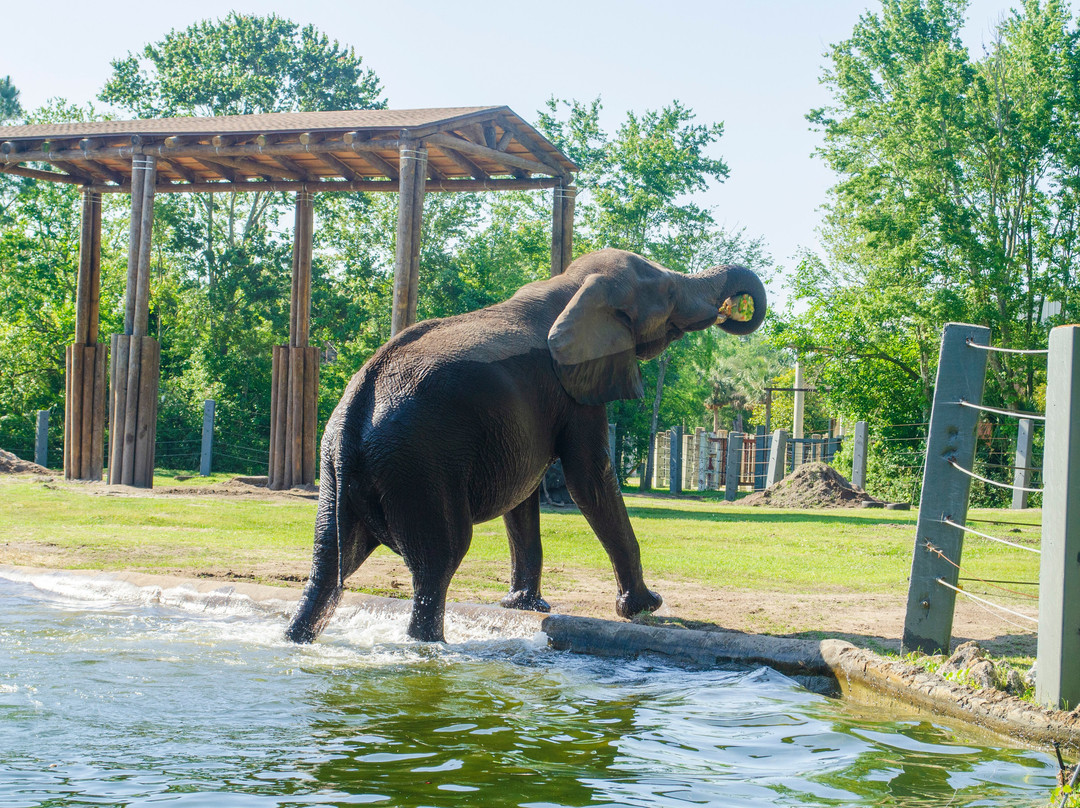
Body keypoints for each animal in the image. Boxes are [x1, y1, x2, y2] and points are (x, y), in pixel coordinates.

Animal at [282, 247, 764, 643]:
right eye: (667, 291)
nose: (732, 309)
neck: (569, 286)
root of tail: (354, 412)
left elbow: (524, 496)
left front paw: (526, 607)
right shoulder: (572, 389)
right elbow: (590, 478)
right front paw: (646, 607)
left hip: (337, 471)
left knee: (327, 565)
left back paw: (297, 639)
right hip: (416, 466)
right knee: (438, 563)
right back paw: (429, 648)